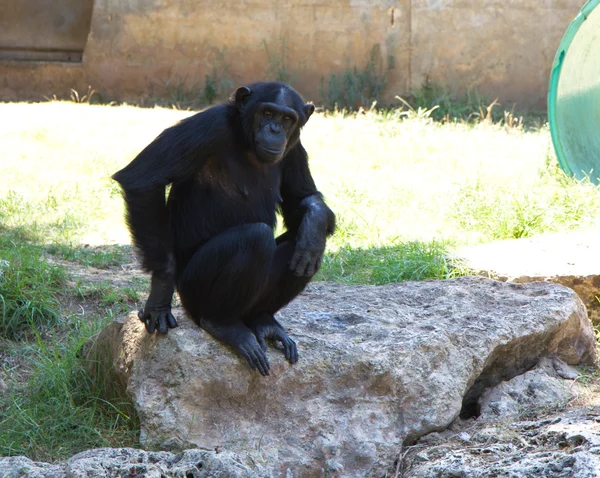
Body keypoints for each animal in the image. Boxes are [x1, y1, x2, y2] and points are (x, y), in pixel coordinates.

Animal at [113, 82, 332, 376]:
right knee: (255, 238)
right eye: (267, 112)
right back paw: (224, 325)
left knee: (303, 248)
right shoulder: (207, 125)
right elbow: (143, 179)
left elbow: (303, 198)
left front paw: (315, 221)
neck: (245, 140)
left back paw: (264, 320)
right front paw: (159, 294)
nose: (275, 129)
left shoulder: (295, 149)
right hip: (192, 290)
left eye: (287, 118)